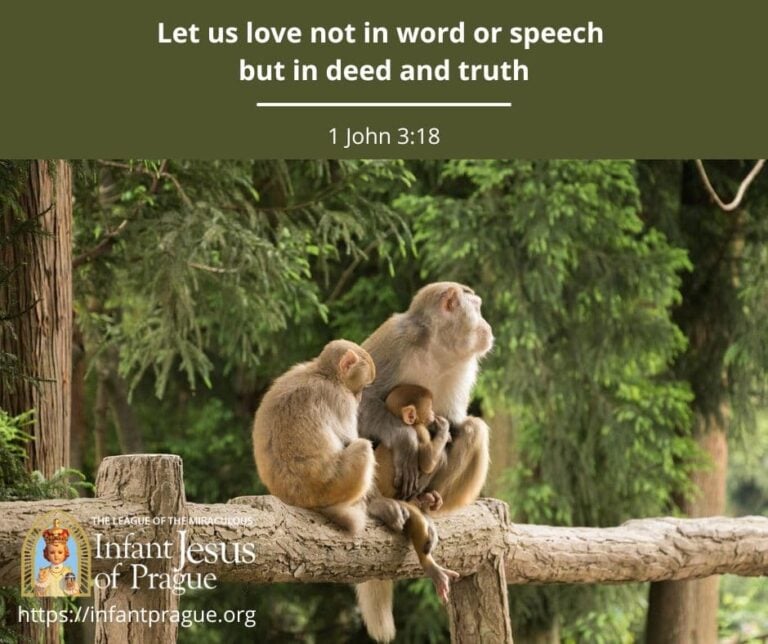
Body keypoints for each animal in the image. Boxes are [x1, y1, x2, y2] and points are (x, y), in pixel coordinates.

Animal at [252, 339, 376, 535]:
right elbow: (349, 440)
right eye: (363, 387)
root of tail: (296, 499)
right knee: (362, 447)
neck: (324, 374)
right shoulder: (341, 400)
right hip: (330, 486)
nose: (359, 398)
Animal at [357, 282, 494, 643]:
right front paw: (405, 439)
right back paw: (379, 503)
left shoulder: (464, 368)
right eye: (477, 307)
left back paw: (426, 500)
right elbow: (360, 402)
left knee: (474, 430)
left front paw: (443, 432)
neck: (438, 350)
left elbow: (457, 424)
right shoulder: (395, 338)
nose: (488, 327)